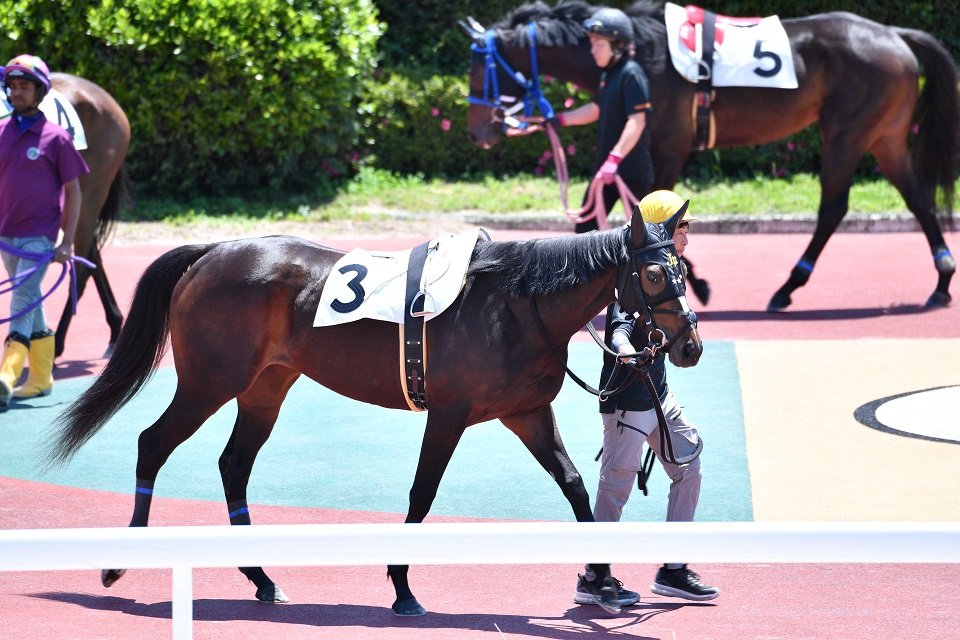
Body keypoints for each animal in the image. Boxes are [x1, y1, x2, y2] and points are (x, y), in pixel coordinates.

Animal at [48, 208, 702, 616]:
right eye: (651, 272)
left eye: (683, 270)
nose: (691, 346)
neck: (517, 304)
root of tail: (213, 252)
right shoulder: (449, 414)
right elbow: (422, 493)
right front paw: (402, 586)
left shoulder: (527, 412)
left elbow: (573, 486)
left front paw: (605, 580)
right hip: (209, 382)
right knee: (153, 444)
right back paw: (120, 567)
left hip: (265, 387)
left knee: (233, 464)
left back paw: (262, 579)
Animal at [465, 0, 958, 311]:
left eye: (479, 70)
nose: (479, 131)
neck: (640, 54)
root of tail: (893, 34)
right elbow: (605, 212)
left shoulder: (664, 147)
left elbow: (647, 208)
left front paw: (694, 281)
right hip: (884, 135)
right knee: (917, 197)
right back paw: (940, 281)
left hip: (848, 134)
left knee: (835, 206)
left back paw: (788, 287)